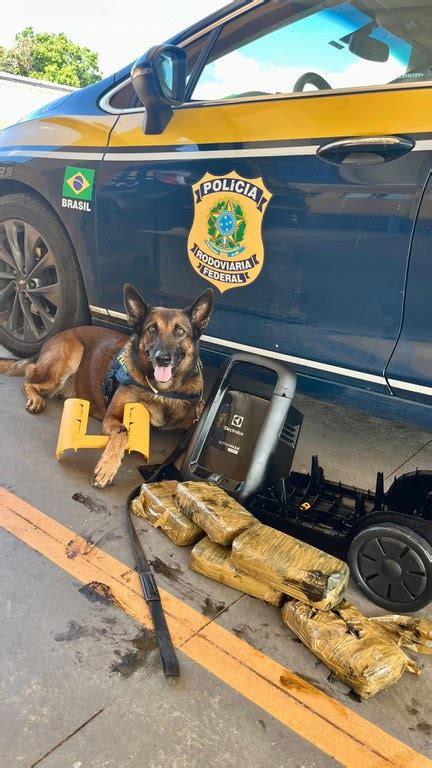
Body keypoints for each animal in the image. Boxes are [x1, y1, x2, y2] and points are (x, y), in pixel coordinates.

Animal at [0, 284, 214, 488]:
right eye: (152, 329)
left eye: (180, 331)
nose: (162, 359)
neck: (162, 391)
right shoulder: (112, 417)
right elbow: (123, 432)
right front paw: (106, 468)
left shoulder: (192, 420)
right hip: (70, 354)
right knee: (28, 378)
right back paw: (35, 398)